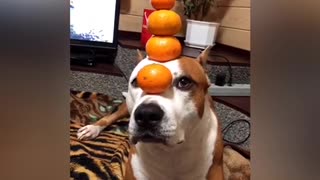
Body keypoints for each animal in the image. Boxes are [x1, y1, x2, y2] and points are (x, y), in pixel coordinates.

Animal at [76, 46, 224, 180]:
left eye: (184, 82)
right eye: (136, 82)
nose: (146, 114)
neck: (171, 152)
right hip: (126, 108)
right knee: (111, 116)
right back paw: (92, 128)